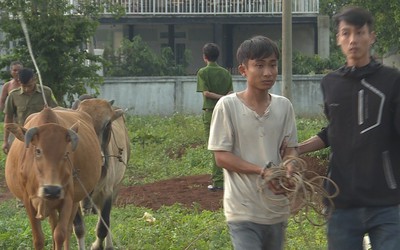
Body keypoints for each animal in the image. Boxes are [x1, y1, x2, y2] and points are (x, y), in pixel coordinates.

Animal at [5, 107, 102, 250]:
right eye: (38, 151)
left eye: (66, 153)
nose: (52, 190)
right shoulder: (28, 201)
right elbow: (39, 239)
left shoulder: (68, 199)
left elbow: (60, 234)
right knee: (53, 225)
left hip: (74, 201)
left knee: (67, 229)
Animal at [73, 98, 130, 250]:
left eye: (108, 124)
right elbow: (79, 228)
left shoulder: (107, 192)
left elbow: (102, 228)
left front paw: (96, 246)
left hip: (116, 187)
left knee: (106, 220)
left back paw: (109, 245)